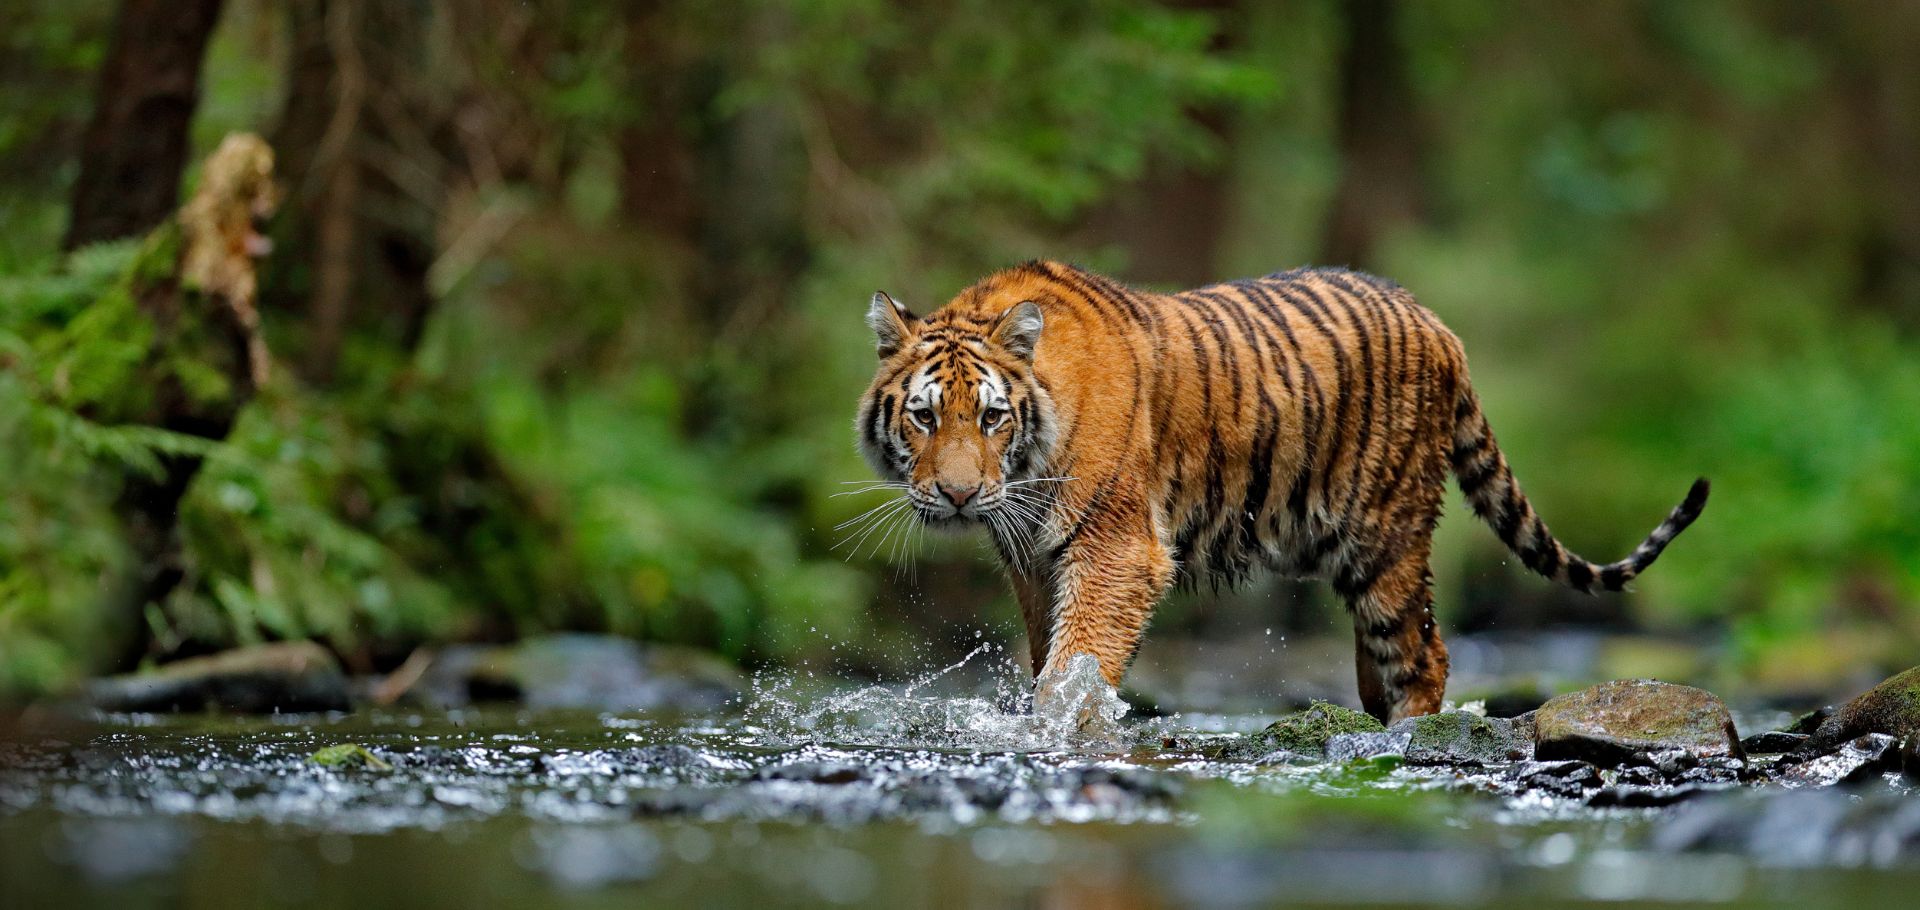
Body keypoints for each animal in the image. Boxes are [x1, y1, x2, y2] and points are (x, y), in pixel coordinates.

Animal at [854, 260, 1708, 722]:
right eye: (924, 416)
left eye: (992, 417)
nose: (958, 496)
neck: (1027, 469)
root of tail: (1438, 324)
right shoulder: (1033, 560)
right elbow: (1049, 657)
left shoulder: (1115, 550)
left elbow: (1077, 663)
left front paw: (1061, 729)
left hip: (1387, 537)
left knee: (1424, 652)